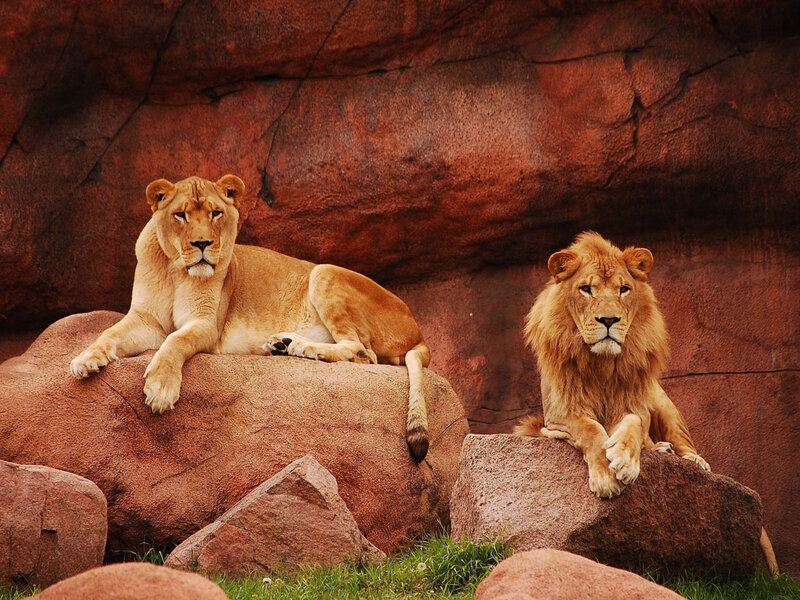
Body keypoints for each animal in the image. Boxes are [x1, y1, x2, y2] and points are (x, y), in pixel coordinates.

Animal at [70, 175, 432, 461]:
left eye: (215, 213)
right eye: (180, 215)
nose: (202, 243)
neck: (175, 270)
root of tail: (418, 332)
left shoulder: (207, 325)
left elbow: (175, 341)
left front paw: (160, 387)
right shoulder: (146, 320)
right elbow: (109, 333)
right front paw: (85, 359)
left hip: (324, 272)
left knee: (361, 352)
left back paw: (297, 346)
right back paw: (281, 343)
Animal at [514, 232, 778, 573]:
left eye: (623, 289)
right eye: (586, 288)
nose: (609, 319)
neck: (601, 364)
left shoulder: (636, 404)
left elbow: (633, 422)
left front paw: (625, 461)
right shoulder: (559, 414)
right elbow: (591, 429)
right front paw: (606, 477)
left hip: (663, 400)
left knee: (684, 444)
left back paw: (690, 460)